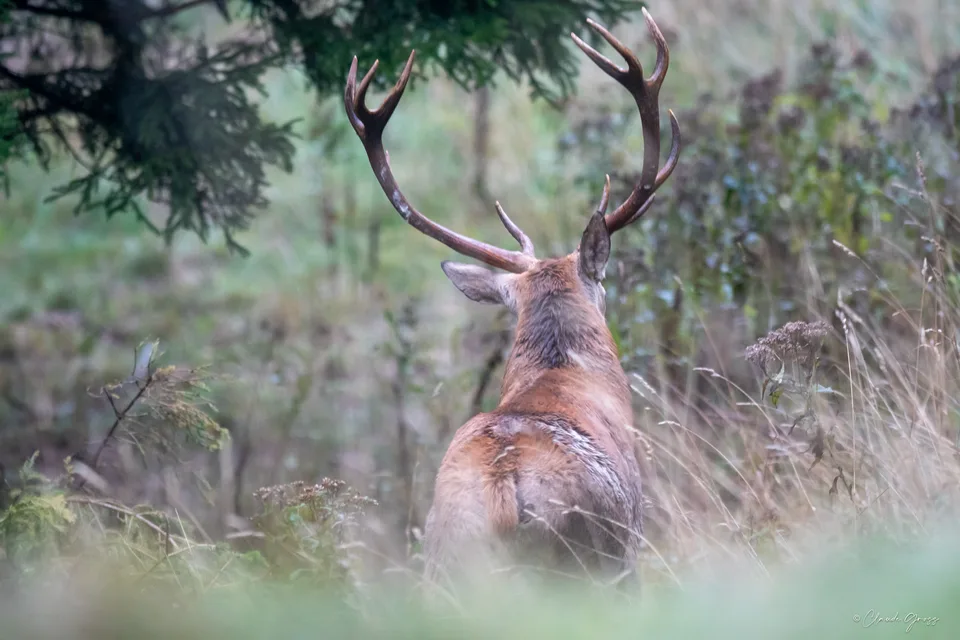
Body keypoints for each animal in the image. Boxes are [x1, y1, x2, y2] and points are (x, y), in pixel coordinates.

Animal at [343, 8, 680, 591]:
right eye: (604, 284)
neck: (561, 375)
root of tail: (502, 493)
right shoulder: (631, 551)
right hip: (585, 562)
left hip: (442, 563)